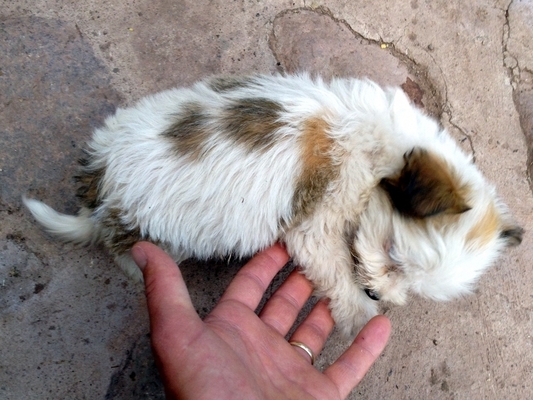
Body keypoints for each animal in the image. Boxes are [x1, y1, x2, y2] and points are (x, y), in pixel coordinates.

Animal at [22, 73, 520, 336]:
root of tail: (100, 179)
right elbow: (332, 264)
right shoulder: (323, 215)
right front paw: (359, 312)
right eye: (392, 254)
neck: (388, 144)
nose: (381, 294)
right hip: (154, 229)